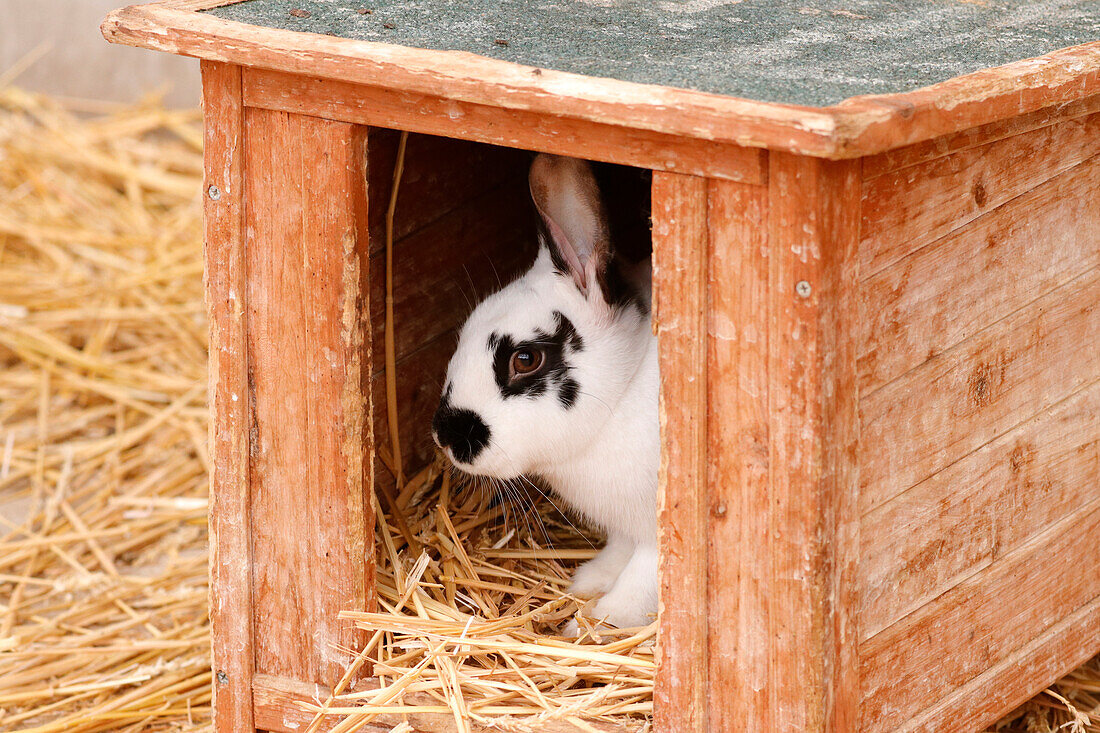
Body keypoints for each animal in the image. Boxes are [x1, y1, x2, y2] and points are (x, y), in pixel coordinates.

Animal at [429, 150, 655, 629]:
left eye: (525, 359)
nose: (447, 437)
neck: (623, 389)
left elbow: (641, 581)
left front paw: (594, 625)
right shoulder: (626, 528)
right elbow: (618, 554)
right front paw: (587, 583)